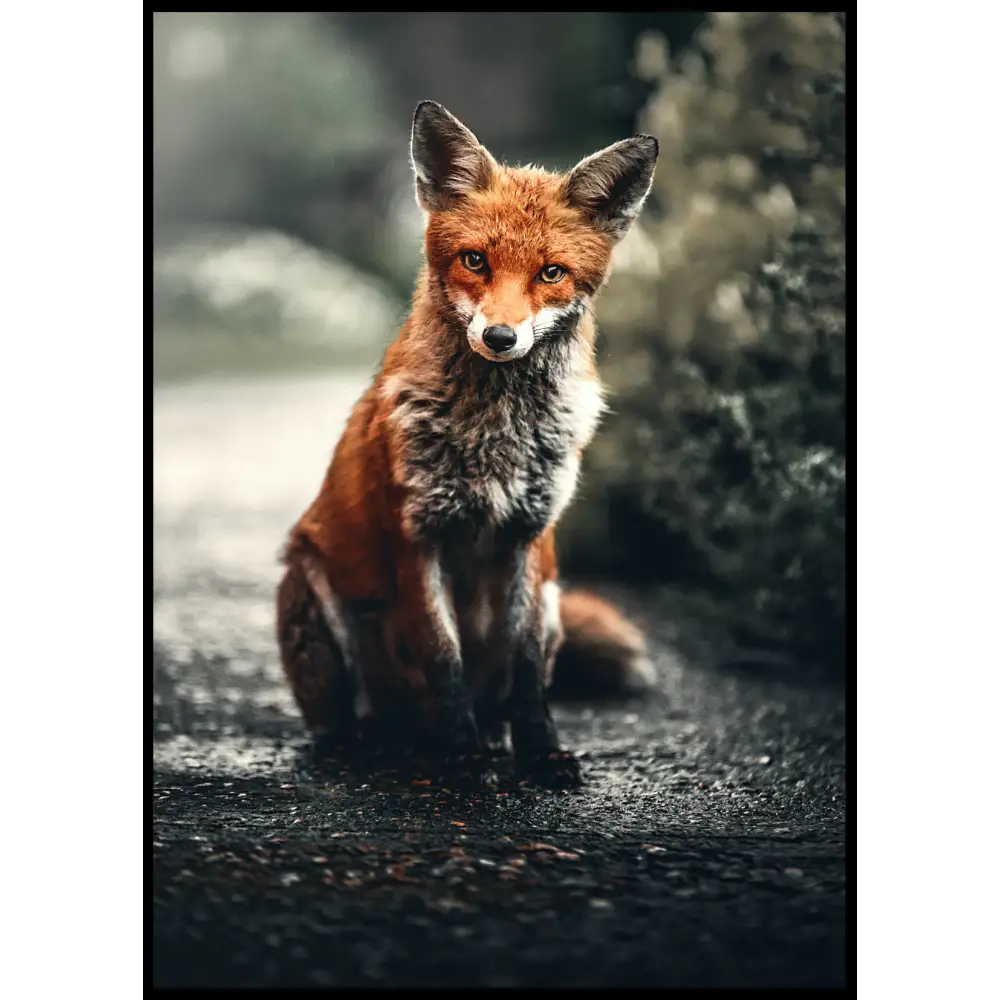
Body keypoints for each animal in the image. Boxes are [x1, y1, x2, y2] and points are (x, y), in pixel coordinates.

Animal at [276, 101, 659, 788]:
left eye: (551, 273)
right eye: (475, 261)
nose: (501, 337)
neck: (495, 435)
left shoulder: (530, 537)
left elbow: (527, 672)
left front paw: (540, 752)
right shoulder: (417, 534)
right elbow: (442, 658)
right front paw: (461, 758)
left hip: (555, 599)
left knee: (499, 696)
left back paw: (490, 737)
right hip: (311, 586)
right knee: (351, 721)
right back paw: (384, 743)